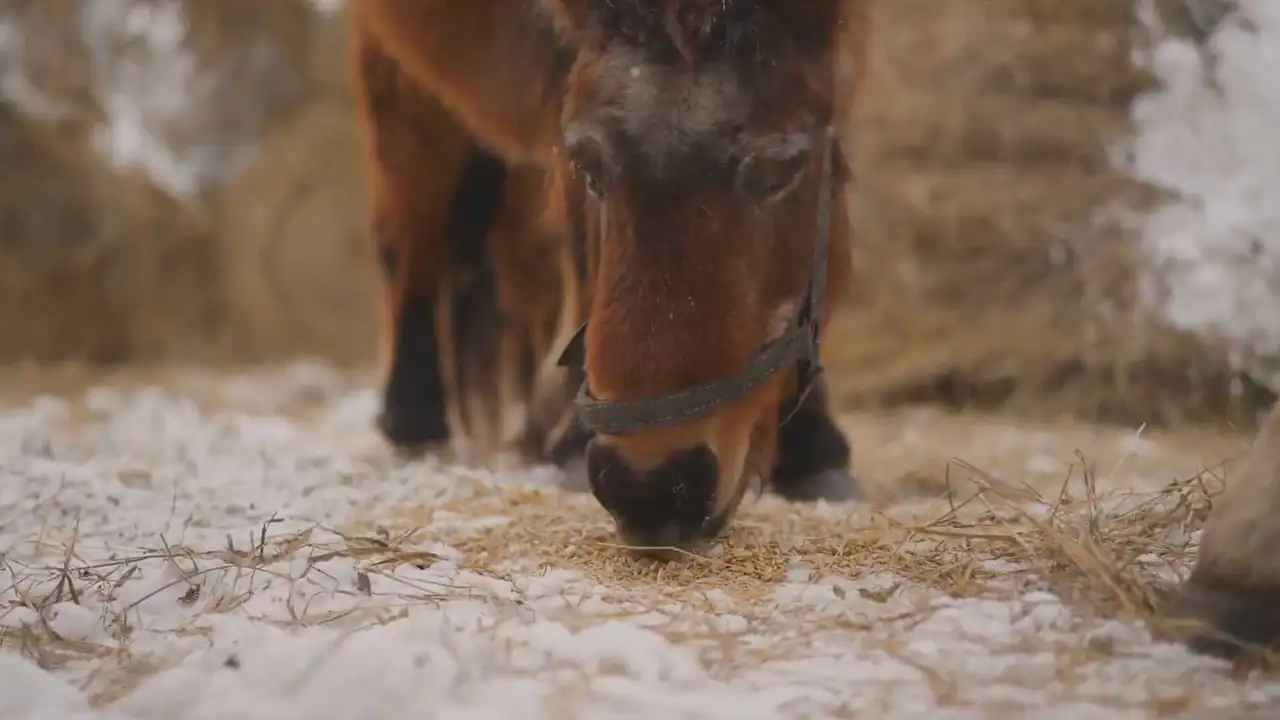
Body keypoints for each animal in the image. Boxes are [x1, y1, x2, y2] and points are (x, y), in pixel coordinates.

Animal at [348, 0, 870, 551]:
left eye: (782, 170)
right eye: (589, 168)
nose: (651, 486)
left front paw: (813, 448)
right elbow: (583, 258)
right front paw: (571, 443)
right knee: (412, 230)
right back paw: (416, 420)